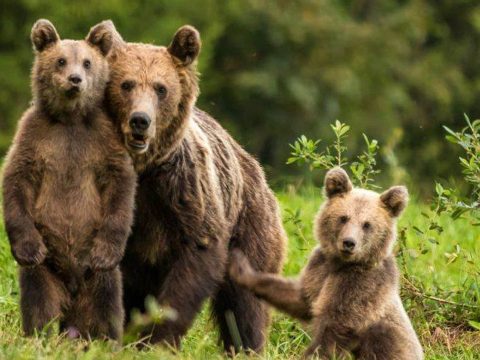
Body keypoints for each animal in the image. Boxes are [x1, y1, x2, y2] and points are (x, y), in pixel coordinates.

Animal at [2, 19, 137, 340]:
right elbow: (16, 179)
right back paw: (40, 334)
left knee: (106, 301)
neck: (70, 120)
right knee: (39, 298)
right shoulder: (35, 136)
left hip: (96, 275)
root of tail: (73, 292)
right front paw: (27, 248)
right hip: (48, 266)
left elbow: (120, 185)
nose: (75, 80)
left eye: (87, 62)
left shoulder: (102, 140)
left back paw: (105, 338)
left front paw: (107, 251)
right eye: (61, 60)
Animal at [86, 21, 286, 352]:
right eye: (126, 84)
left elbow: (196, 260)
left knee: (244, 301)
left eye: (161, 88)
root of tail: (252, 164)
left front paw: (158, 339)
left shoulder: (184, 193)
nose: (140, 120)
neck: (144, 170)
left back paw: (246, 345)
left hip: (250, 222)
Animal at [229, 167, 424, 358]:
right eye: (344, 217)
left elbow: (336, 326)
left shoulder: (362, 284)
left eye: (367, 224)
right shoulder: (319, 268)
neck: (341, 263)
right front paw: (241, 267)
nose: (349, 242)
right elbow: (301, 298)